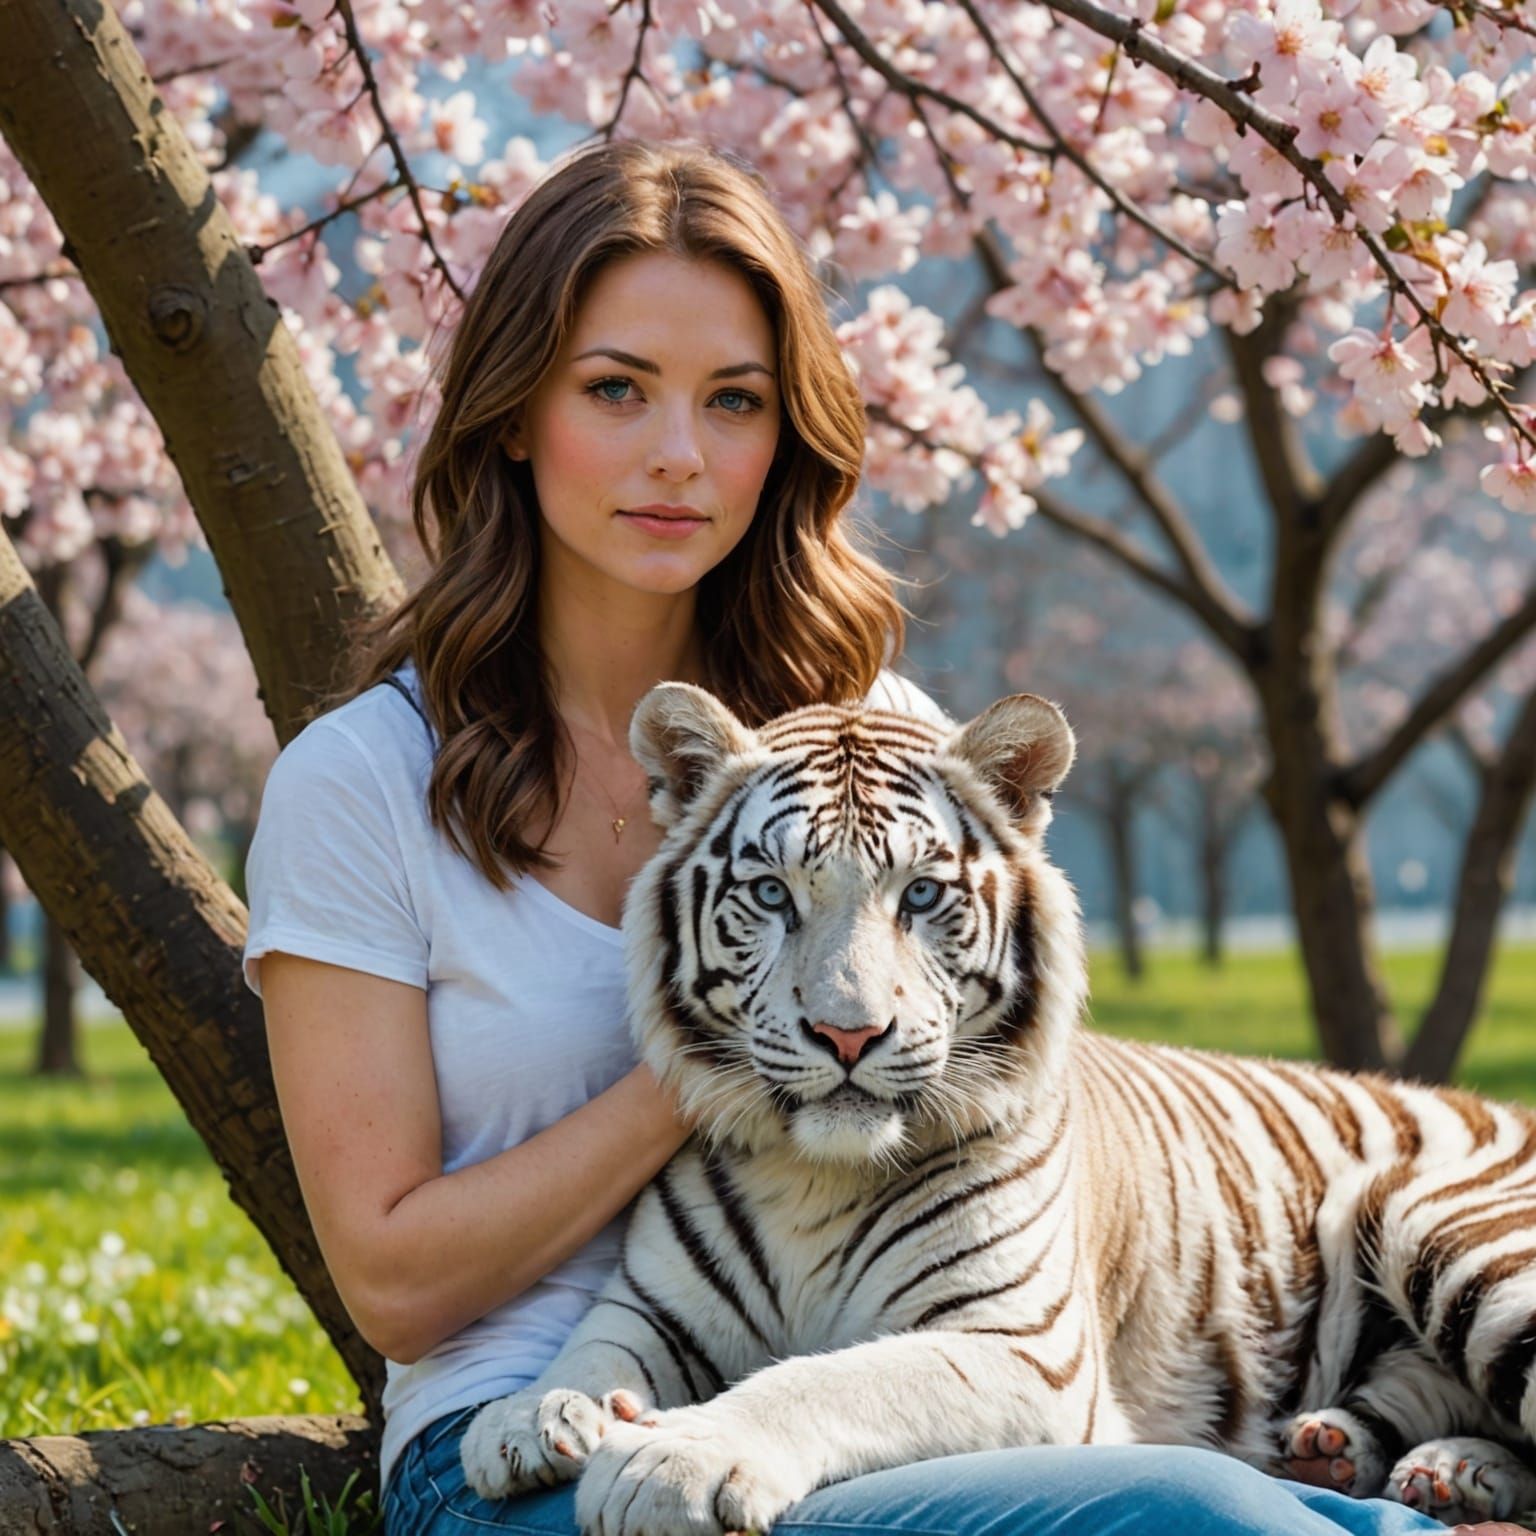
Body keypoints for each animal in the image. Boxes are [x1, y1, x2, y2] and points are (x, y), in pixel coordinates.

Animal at [461, 683, 1536, 1536]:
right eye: (770, 894)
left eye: (920, 894)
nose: (847, 1034)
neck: (812, 1173)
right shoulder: (653, 1307)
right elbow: (591, 1345)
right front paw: (525, 1420)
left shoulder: (1020, 1349)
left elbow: (825, 1377)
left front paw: (670, 1459)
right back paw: (1379, 1455)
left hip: (1436, 1223)